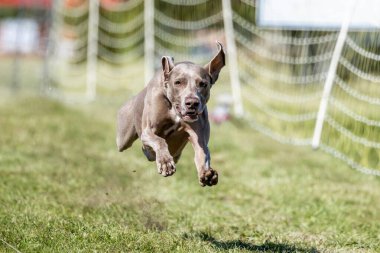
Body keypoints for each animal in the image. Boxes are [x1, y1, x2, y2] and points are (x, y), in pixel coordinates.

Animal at [114, 41, 224, 187]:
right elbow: (159, 140)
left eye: (203, 84)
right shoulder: (148, 132)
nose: (192, 103)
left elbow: (202, 153)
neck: (175, 110)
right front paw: (165, 162)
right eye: (178, 82)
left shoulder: (199, 137)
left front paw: (207, 174)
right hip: (123, 138)